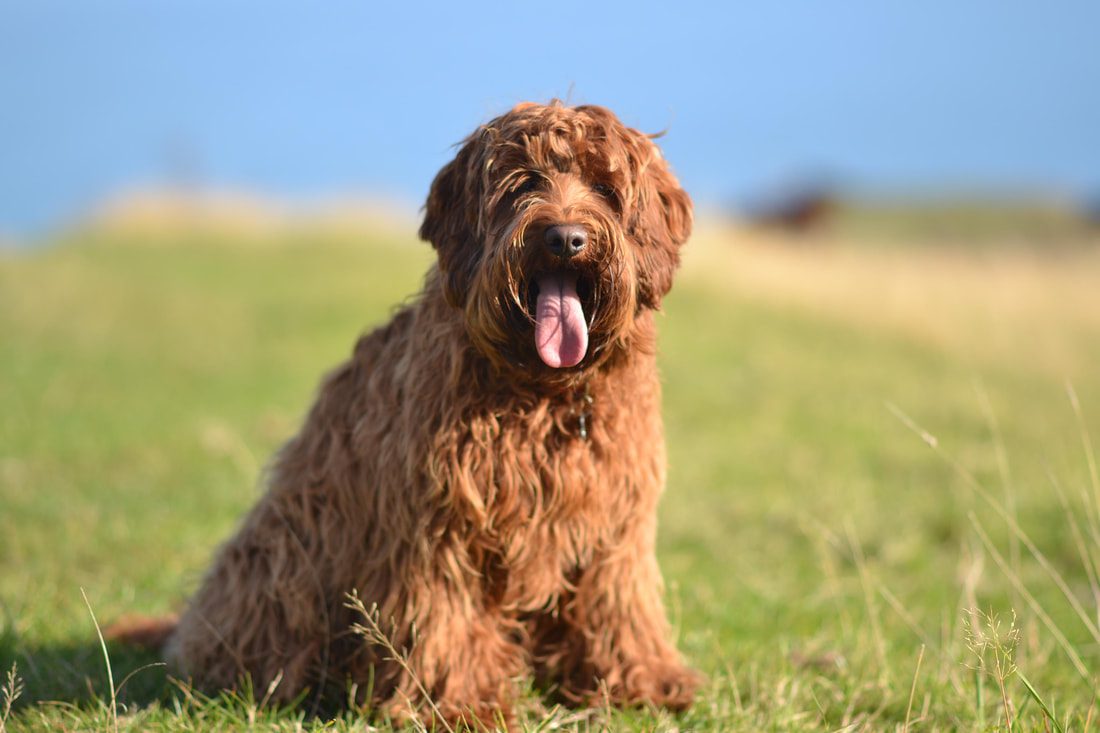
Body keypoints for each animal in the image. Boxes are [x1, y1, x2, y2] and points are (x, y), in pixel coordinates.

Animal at [146, 100, 699, 726]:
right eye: (523, 184)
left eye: (606, 187)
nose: (565, 238)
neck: (542, 392)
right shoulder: (439, 527)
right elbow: (445, 614)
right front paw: (460, 703)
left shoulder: (616, 525)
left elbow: (618, 602)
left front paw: (643, 680)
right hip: (282, 553)